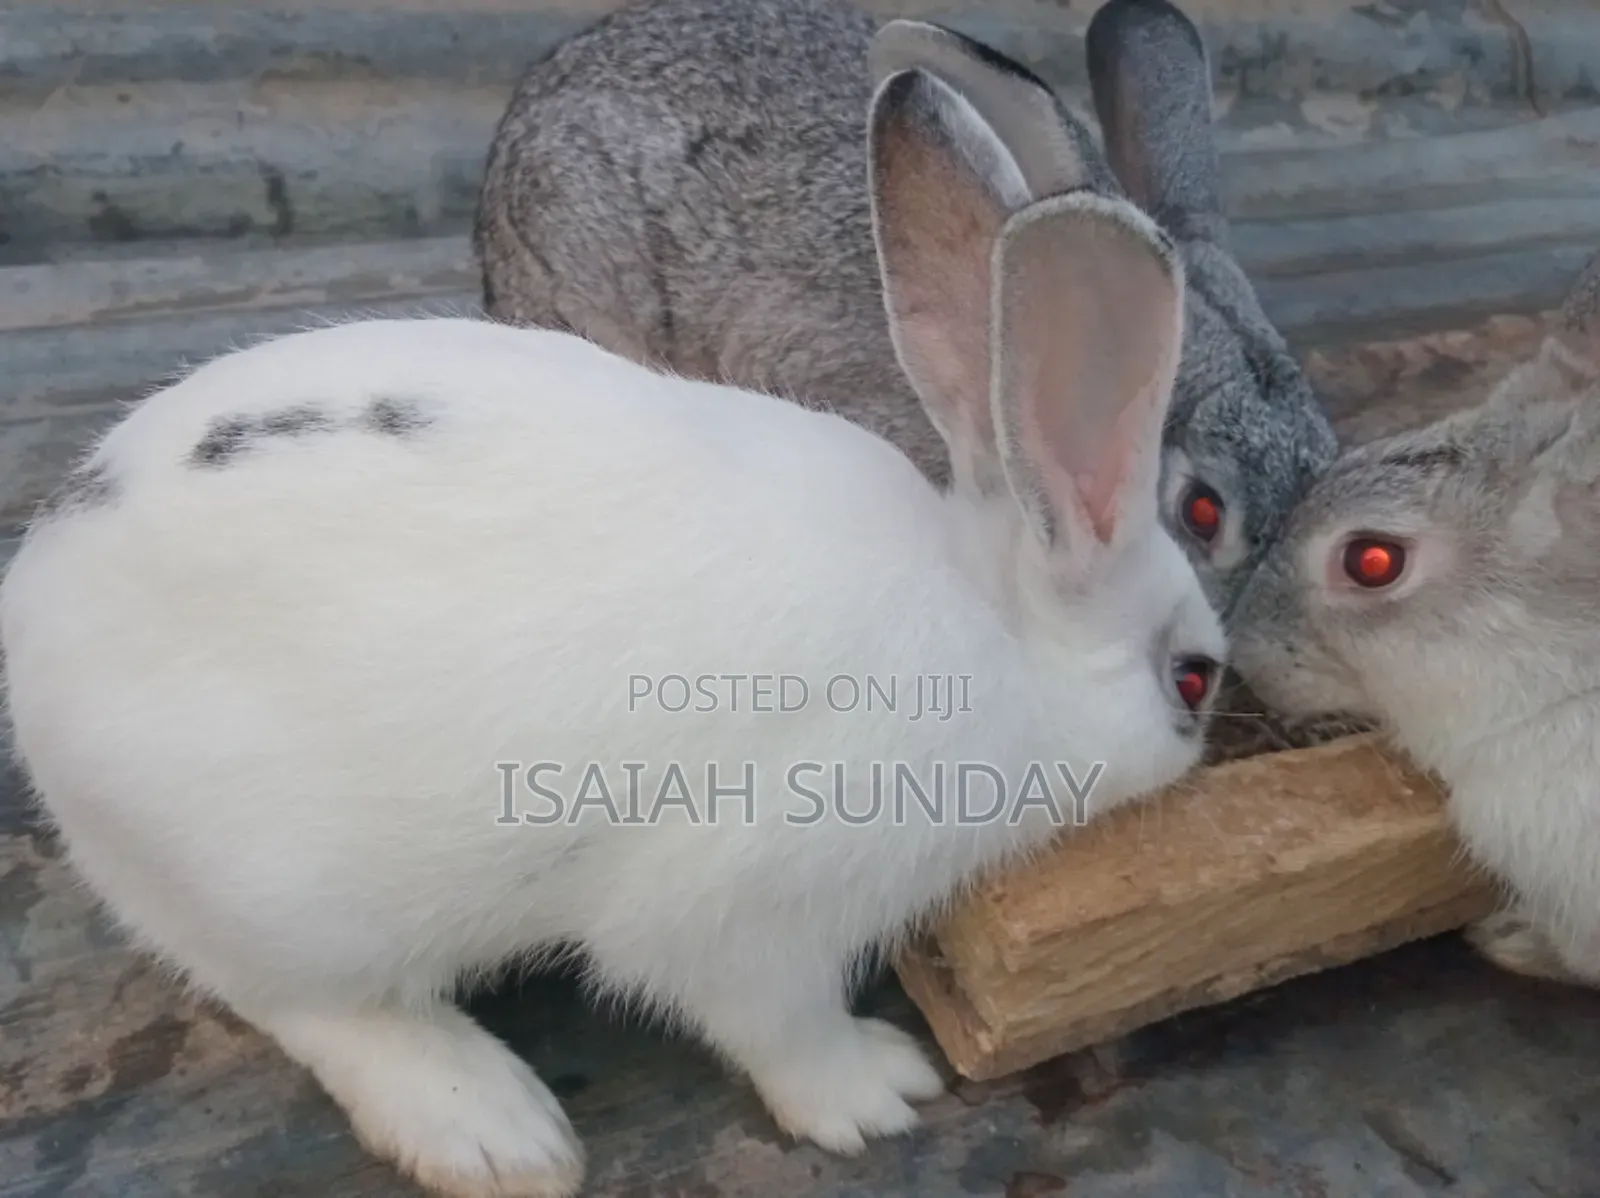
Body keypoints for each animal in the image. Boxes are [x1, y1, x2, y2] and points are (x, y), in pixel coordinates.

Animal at [1, 63, 1226, 1198]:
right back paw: (496, 1130)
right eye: (1194, 678)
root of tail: (34, 611)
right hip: (285, 900)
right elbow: (768, 1016)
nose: (1205, 728)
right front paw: (878, 1087)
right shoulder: (750, 904)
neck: (995, 626)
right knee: (310, 1006)